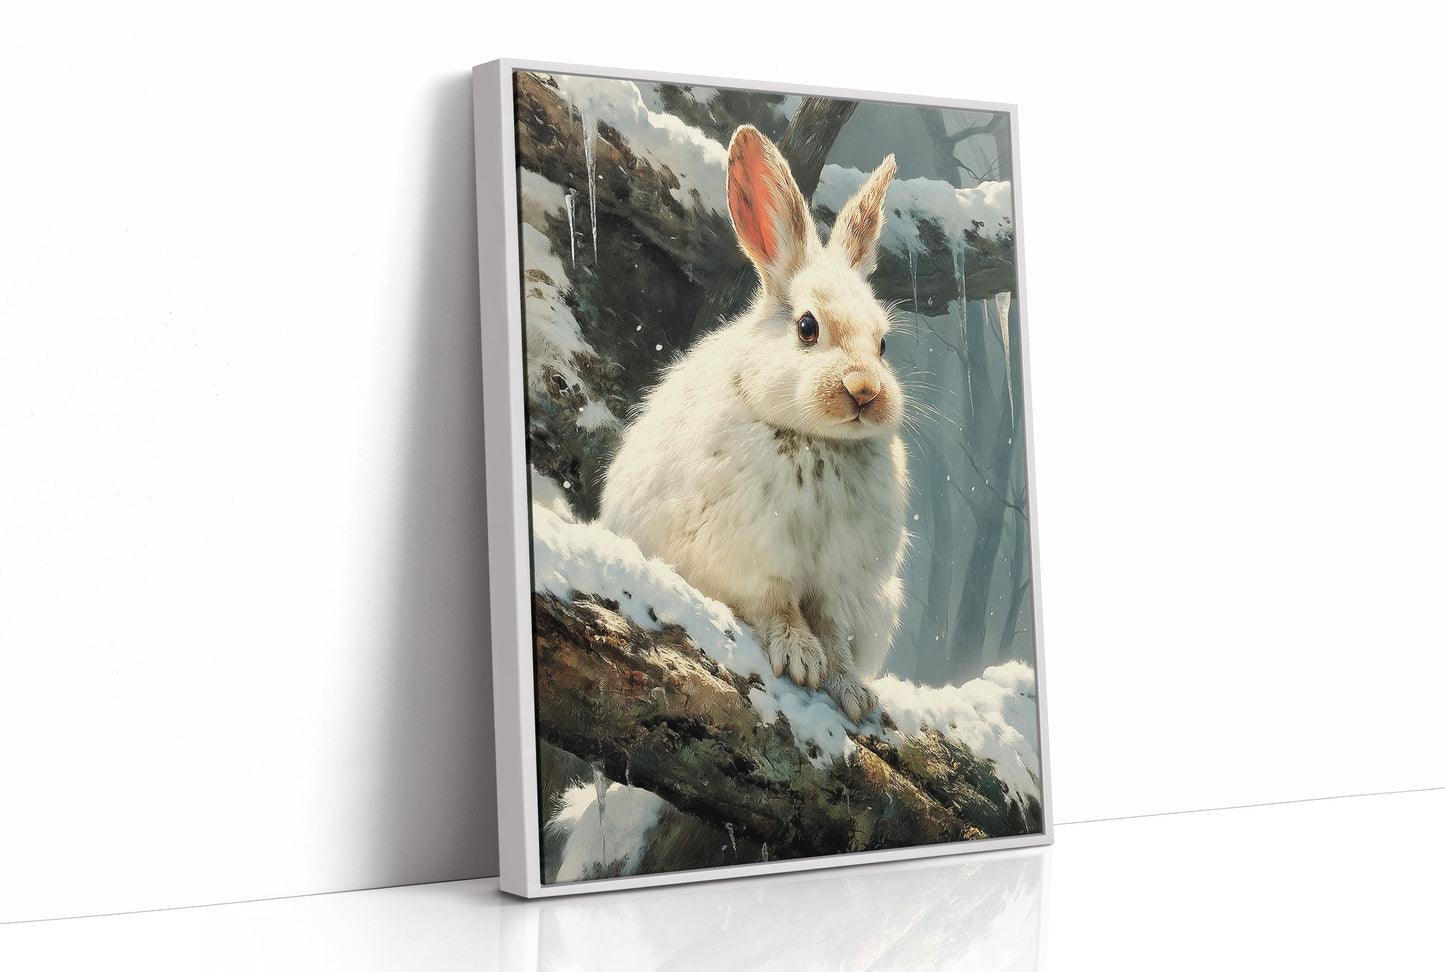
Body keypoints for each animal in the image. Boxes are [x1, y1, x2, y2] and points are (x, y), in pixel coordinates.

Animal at [598, 124, 908, 723]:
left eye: (884, 344)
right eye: (807, 327)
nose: (865, 391)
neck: (816, 440)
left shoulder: (842, 584)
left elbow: (834, 633)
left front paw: (852, 691)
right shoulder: (751, 556)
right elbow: (778, 607)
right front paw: (801, 660)